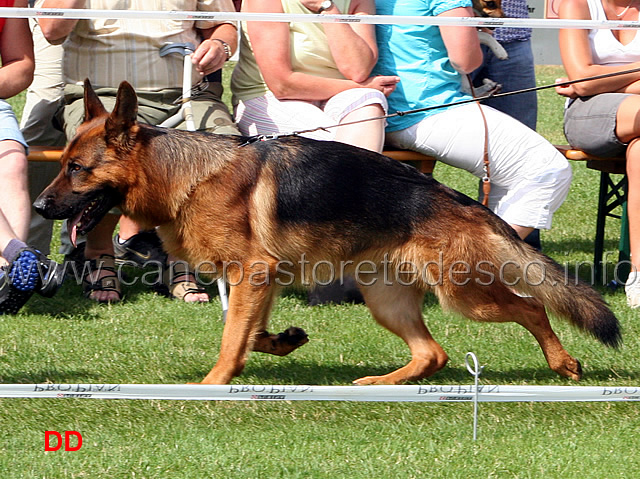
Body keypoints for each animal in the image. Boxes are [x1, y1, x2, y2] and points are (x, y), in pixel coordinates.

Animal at [33, 79, 620, 386]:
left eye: (77, 170)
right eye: (60, 165)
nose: (40, 204)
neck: (185, 176)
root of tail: (461, 201)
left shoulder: (252, 273)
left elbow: (230, 338)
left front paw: (213, 386)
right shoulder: (259, 281)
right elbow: (248, 332)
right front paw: (280, 341)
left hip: (464, 295)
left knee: (532, 307)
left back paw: (563, 362)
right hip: (386, 299)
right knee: (434, 354)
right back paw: (380, 385)